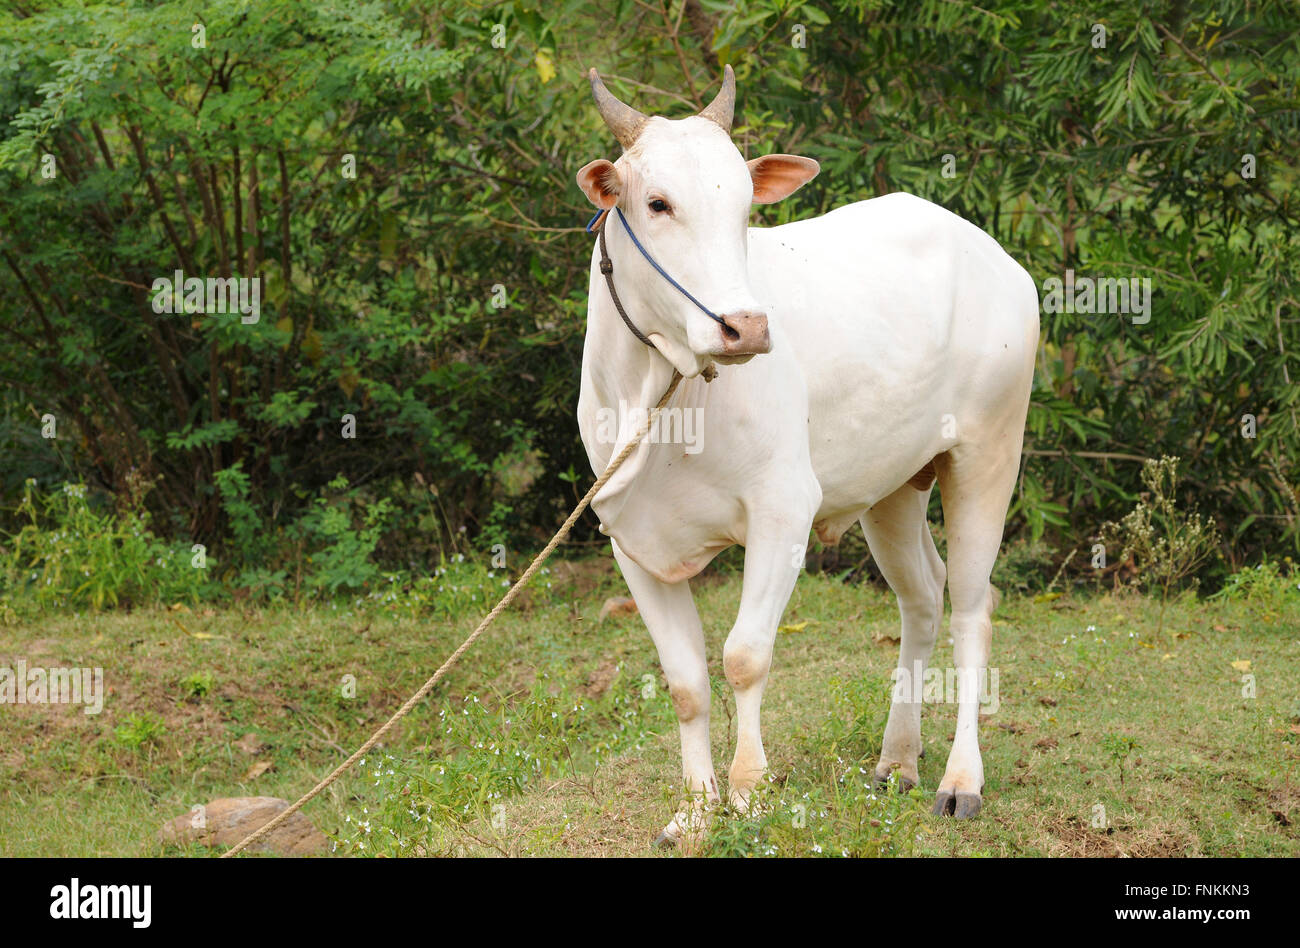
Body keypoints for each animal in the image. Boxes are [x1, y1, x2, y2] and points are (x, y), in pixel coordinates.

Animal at [574, 70, 1040, 847]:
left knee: (974, 608)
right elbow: (685, 682)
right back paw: (897, 761)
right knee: (923, 597)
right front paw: (693, 813)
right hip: (894, 488)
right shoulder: (630, 540)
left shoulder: (783, 512)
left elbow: (743, 656)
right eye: (657, 202)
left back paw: (959, 781)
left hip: (988, 455)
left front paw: (748, 792)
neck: (665, 398)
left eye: (744, 208)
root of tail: (995, 257)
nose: (745, 327)